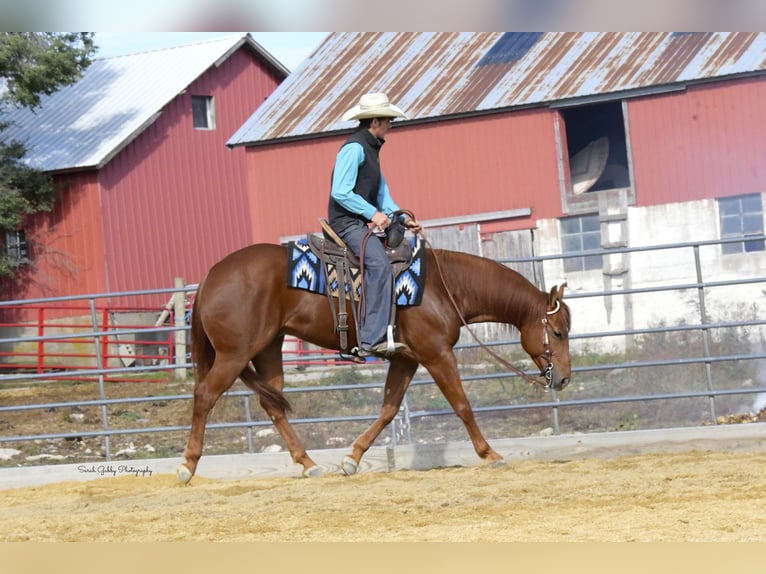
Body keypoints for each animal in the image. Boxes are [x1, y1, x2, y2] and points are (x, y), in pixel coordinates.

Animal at [177, 242, 571, 483]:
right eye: (558, 331)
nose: (565, 379)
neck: (443, 287)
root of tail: (211, 275)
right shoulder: (437, 354)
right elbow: (462, 404)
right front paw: (490, 453)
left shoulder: (406, 359)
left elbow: (388, 409)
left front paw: (353, 457)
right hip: (234, 354)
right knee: (205, 396)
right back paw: (187, 465)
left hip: (268, 349)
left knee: (272, 405)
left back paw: (309, 464)